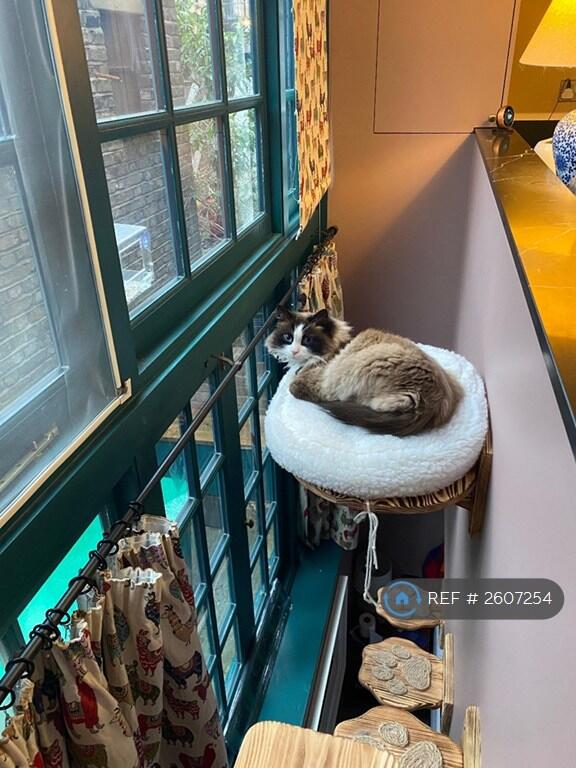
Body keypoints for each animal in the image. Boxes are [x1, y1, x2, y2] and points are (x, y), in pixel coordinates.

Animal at [266, 305, 462, 436]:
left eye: (307, 340)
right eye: (288, 338)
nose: (294, 351)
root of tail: (431, 403)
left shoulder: (317, 382)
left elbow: (293, 387)